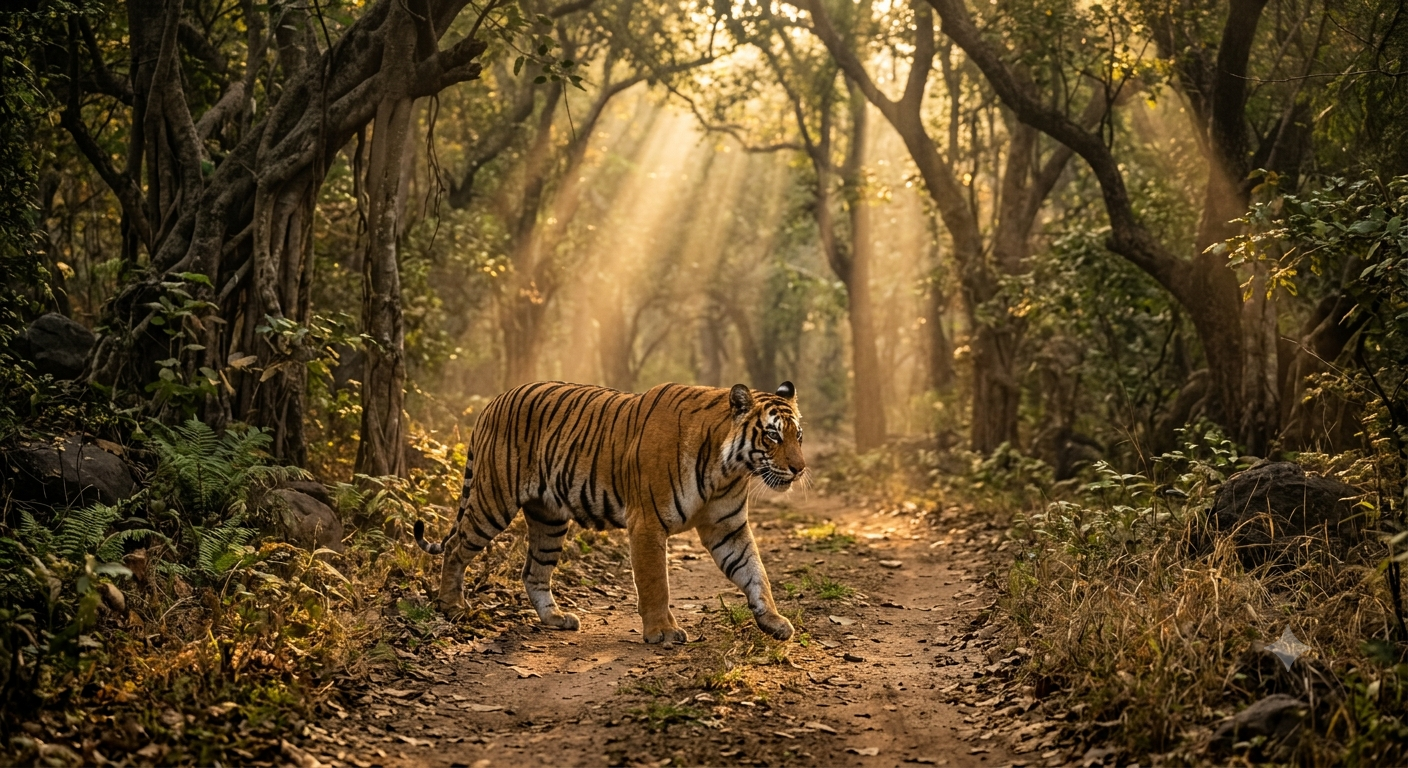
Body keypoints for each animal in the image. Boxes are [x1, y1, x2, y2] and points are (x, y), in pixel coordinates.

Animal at [413, 380, 806, 643]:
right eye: (772, 435)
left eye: (798, 435)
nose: (800, 469)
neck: (728, 469)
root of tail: (494, 400)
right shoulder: (647, 522)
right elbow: (655, 583)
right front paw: (662, 632)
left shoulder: (728, 527)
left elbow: (754, 573)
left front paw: (773, 621)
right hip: (493, 500)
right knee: (456, 547)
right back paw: (451, 606)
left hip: (549, 519)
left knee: (533, 571)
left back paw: (556, 619)